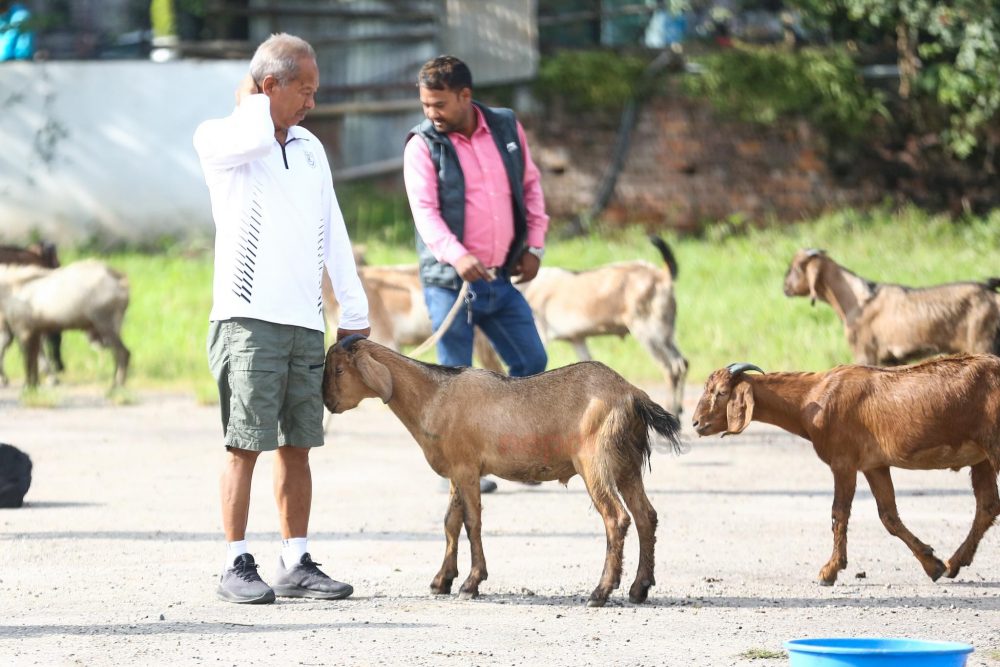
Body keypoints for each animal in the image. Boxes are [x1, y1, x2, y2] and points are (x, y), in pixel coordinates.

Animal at [0, 260, 131, 388]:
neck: (12, 290)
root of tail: (121, 281)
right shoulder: (34, 331)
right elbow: (34, 360)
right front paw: (35, 385)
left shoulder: (24, 330)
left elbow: (28, 360)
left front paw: (28, 386)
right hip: (112, 327)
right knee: (116, 353)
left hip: (104, 324)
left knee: (123, 353)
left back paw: (116, 386)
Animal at [324, 336, 684, 608]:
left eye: (339, 369)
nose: (328, 402)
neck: (434, 395)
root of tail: (631, 394)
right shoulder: (456, 471)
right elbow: (450, 522)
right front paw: (442, 580)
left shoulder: (467, 468)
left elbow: (472, 523)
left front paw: (471, 583)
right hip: (626, 464)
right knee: (645, 516)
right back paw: (639, 588)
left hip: (596, 463)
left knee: (616, 518)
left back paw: (601, 592)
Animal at [516, 235, 688, 412]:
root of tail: (661, 275)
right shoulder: (577, 339)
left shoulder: (541, 334)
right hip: (666, 333)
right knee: (683, 363)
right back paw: (679, 409)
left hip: (648, 331)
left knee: (671, 367)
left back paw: (672, 408)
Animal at [692, 358, 1000, 588]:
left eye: (721, 392)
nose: (696, 423)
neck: (812, 396)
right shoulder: (874, 465)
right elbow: (889, 516)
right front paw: (932, 564)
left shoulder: (843, 461)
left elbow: (838, 513)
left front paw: (828, 571)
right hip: (982, 457)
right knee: (987, 506)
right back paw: (954, 563)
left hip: (993, 447)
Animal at [784, 249, 996, 366]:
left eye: (797, 267)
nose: (784, 287)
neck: (857, 300)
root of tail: (994, 294)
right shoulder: (893, 360)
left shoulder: (865, 352)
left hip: (982, 342)